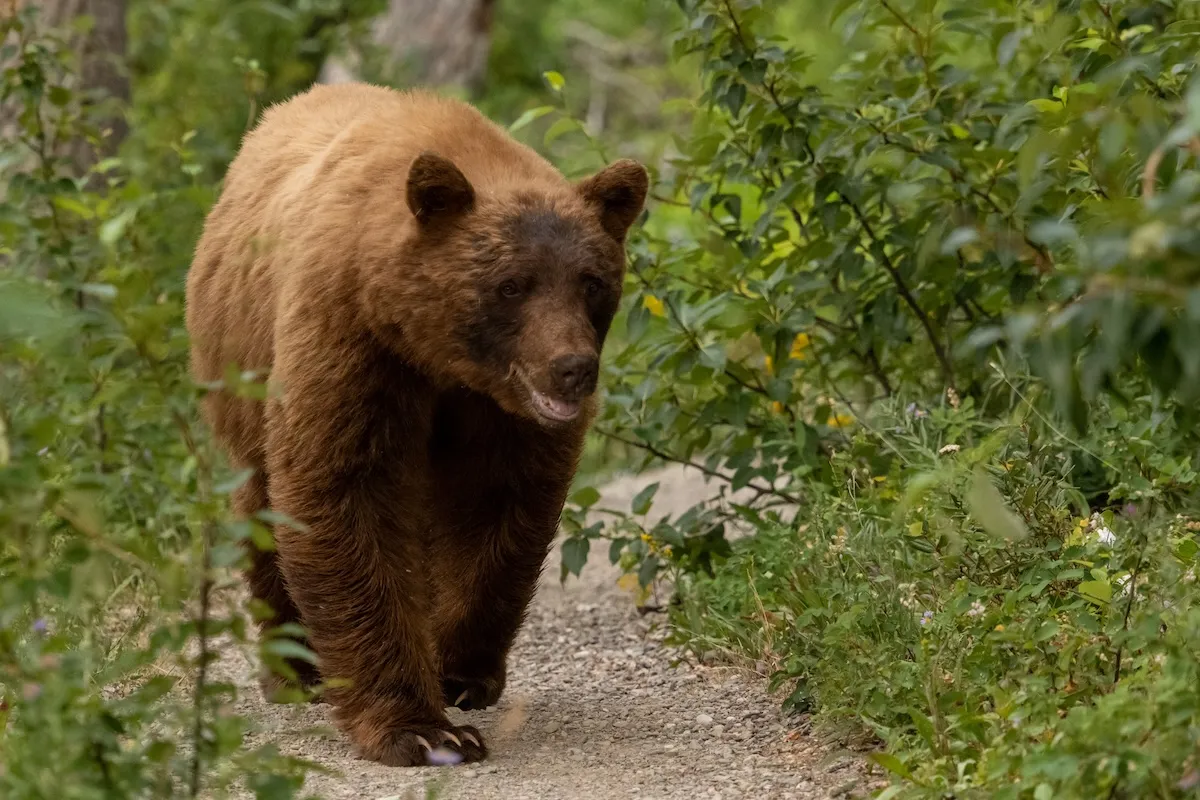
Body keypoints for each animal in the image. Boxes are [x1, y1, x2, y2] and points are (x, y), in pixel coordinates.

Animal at [183, 81, 648, 766]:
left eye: (591, 281)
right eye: (513, 284)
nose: (572, 369)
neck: (438, 353)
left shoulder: (497, 409)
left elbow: (497, 507)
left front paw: (461, 671)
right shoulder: (353, 339)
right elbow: (345, 494)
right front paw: (420, 728)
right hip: (239, 366)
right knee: (262, 500)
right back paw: (294, 668)